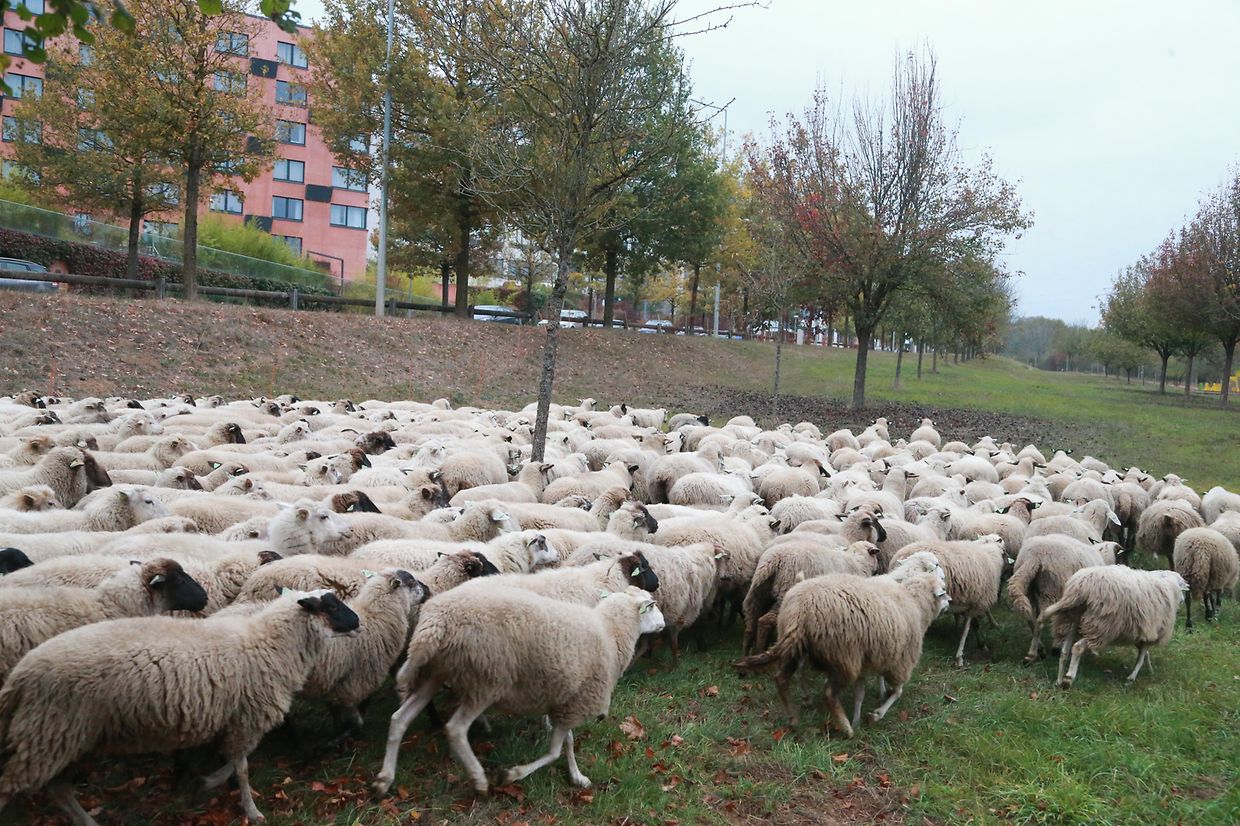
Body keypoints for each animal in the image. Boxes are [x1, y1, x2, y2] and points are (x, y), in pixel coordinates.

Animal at [0, 589, 359, 824]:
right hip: (51, 731)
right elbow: (241, 766)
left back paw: (87, 821)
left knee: (59, 789)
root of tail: (20, 676)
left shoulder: (235, 718)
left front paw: (205, 782)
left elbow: (232, 761)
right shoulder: (248, 717)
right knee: (14, 786)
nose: (358, 622)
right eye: (331, 604)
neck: (269, 642)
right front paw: (251, 810)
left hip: (68, 736)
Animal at [373, 586, 664, 796]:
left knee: (399, 719)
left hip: (436, 673)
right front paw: (511, 775)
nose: (663, 624)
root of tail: (436, 623)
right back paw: (479, 780)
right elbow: (554, 752)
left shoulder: (568, 699)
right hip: (486, 680)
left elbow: (567, 742)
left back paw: (384, 780)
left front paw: (577, 777)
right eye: (651, 606)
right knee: (455, 729)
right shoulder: (577, 702)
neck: (610, 631)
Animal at [731, 560, 949, 736]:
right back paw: (846, 728)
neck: (913, 600)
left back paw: (795, 717)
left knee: (783, 679)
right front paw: (876, 714)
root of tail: (802, 609)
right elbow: (897, 692)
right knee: (828, 693)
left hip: (798, 647)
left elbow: (861, 692)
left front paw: (862, 714)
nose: (950, 602)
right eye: (944, 591)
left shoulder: (875, 655)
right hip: (845, 656)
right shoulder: (900, 661)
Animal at [742, 540, 881, 655]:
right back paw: (759, 651)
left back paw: (746, 653)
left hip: (759, 591)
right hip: (785, 592)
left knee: (751, 621)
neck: (859, 563)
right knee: (764, 621)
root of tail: (774, 560)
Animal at [1035, 566, 1188, 688]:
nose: (1183, 601)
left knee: (1065, 650)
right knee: (1078, 647)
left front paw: (1149, 670)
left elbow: (1144, 654)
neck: (1170, 586)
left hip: (1075, 620)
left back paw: (1059, 680)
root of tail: (1081, 586)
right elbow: (1141, 656)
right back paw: (1068, 679)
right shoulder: (1151, 633)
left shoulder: (1143, 632)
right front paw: (1132, 678)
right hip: (1101, 626)